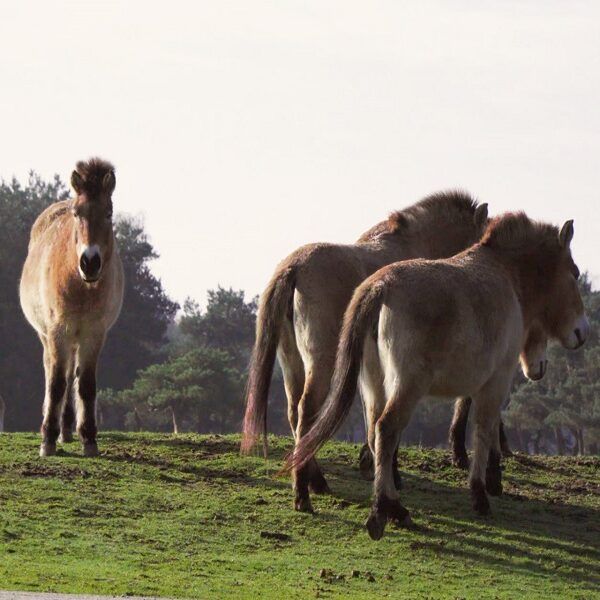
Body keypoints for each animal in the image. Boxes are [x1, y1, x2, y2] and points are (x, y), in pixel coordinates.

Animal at [20, 157, 124, 458]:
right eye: (77, 214)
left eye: (109, 213)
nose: (90, 262)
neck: (80, 285)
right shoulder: (57, 330)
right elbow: (56, 384)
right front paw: (47, 441)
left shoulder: (93, 333)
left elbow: (86, 384)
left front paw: (88, 438)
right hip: (49, 335)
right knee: (55, 373)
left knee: (70, 375)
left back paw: (67, 430)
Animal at [241, 191, 490, 510]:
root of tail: (294, 267)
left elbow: (372, 414)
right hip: (320, 363)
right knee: (306, 413)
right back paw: (306, 492)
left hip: (291, 363)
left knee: (296, 415)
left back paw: (314, 480)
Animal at [290, 212, 592, 540]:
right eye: (574, 272)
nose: (582, 332)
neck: (503, 271)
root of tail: (381, 287)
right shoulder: (496, 381)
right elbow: (483, 430)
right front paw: (480, 493)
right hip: (407, 386)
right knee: (386, 429)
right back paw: (386, 510)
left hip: (373, 384)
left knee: (371, 432)